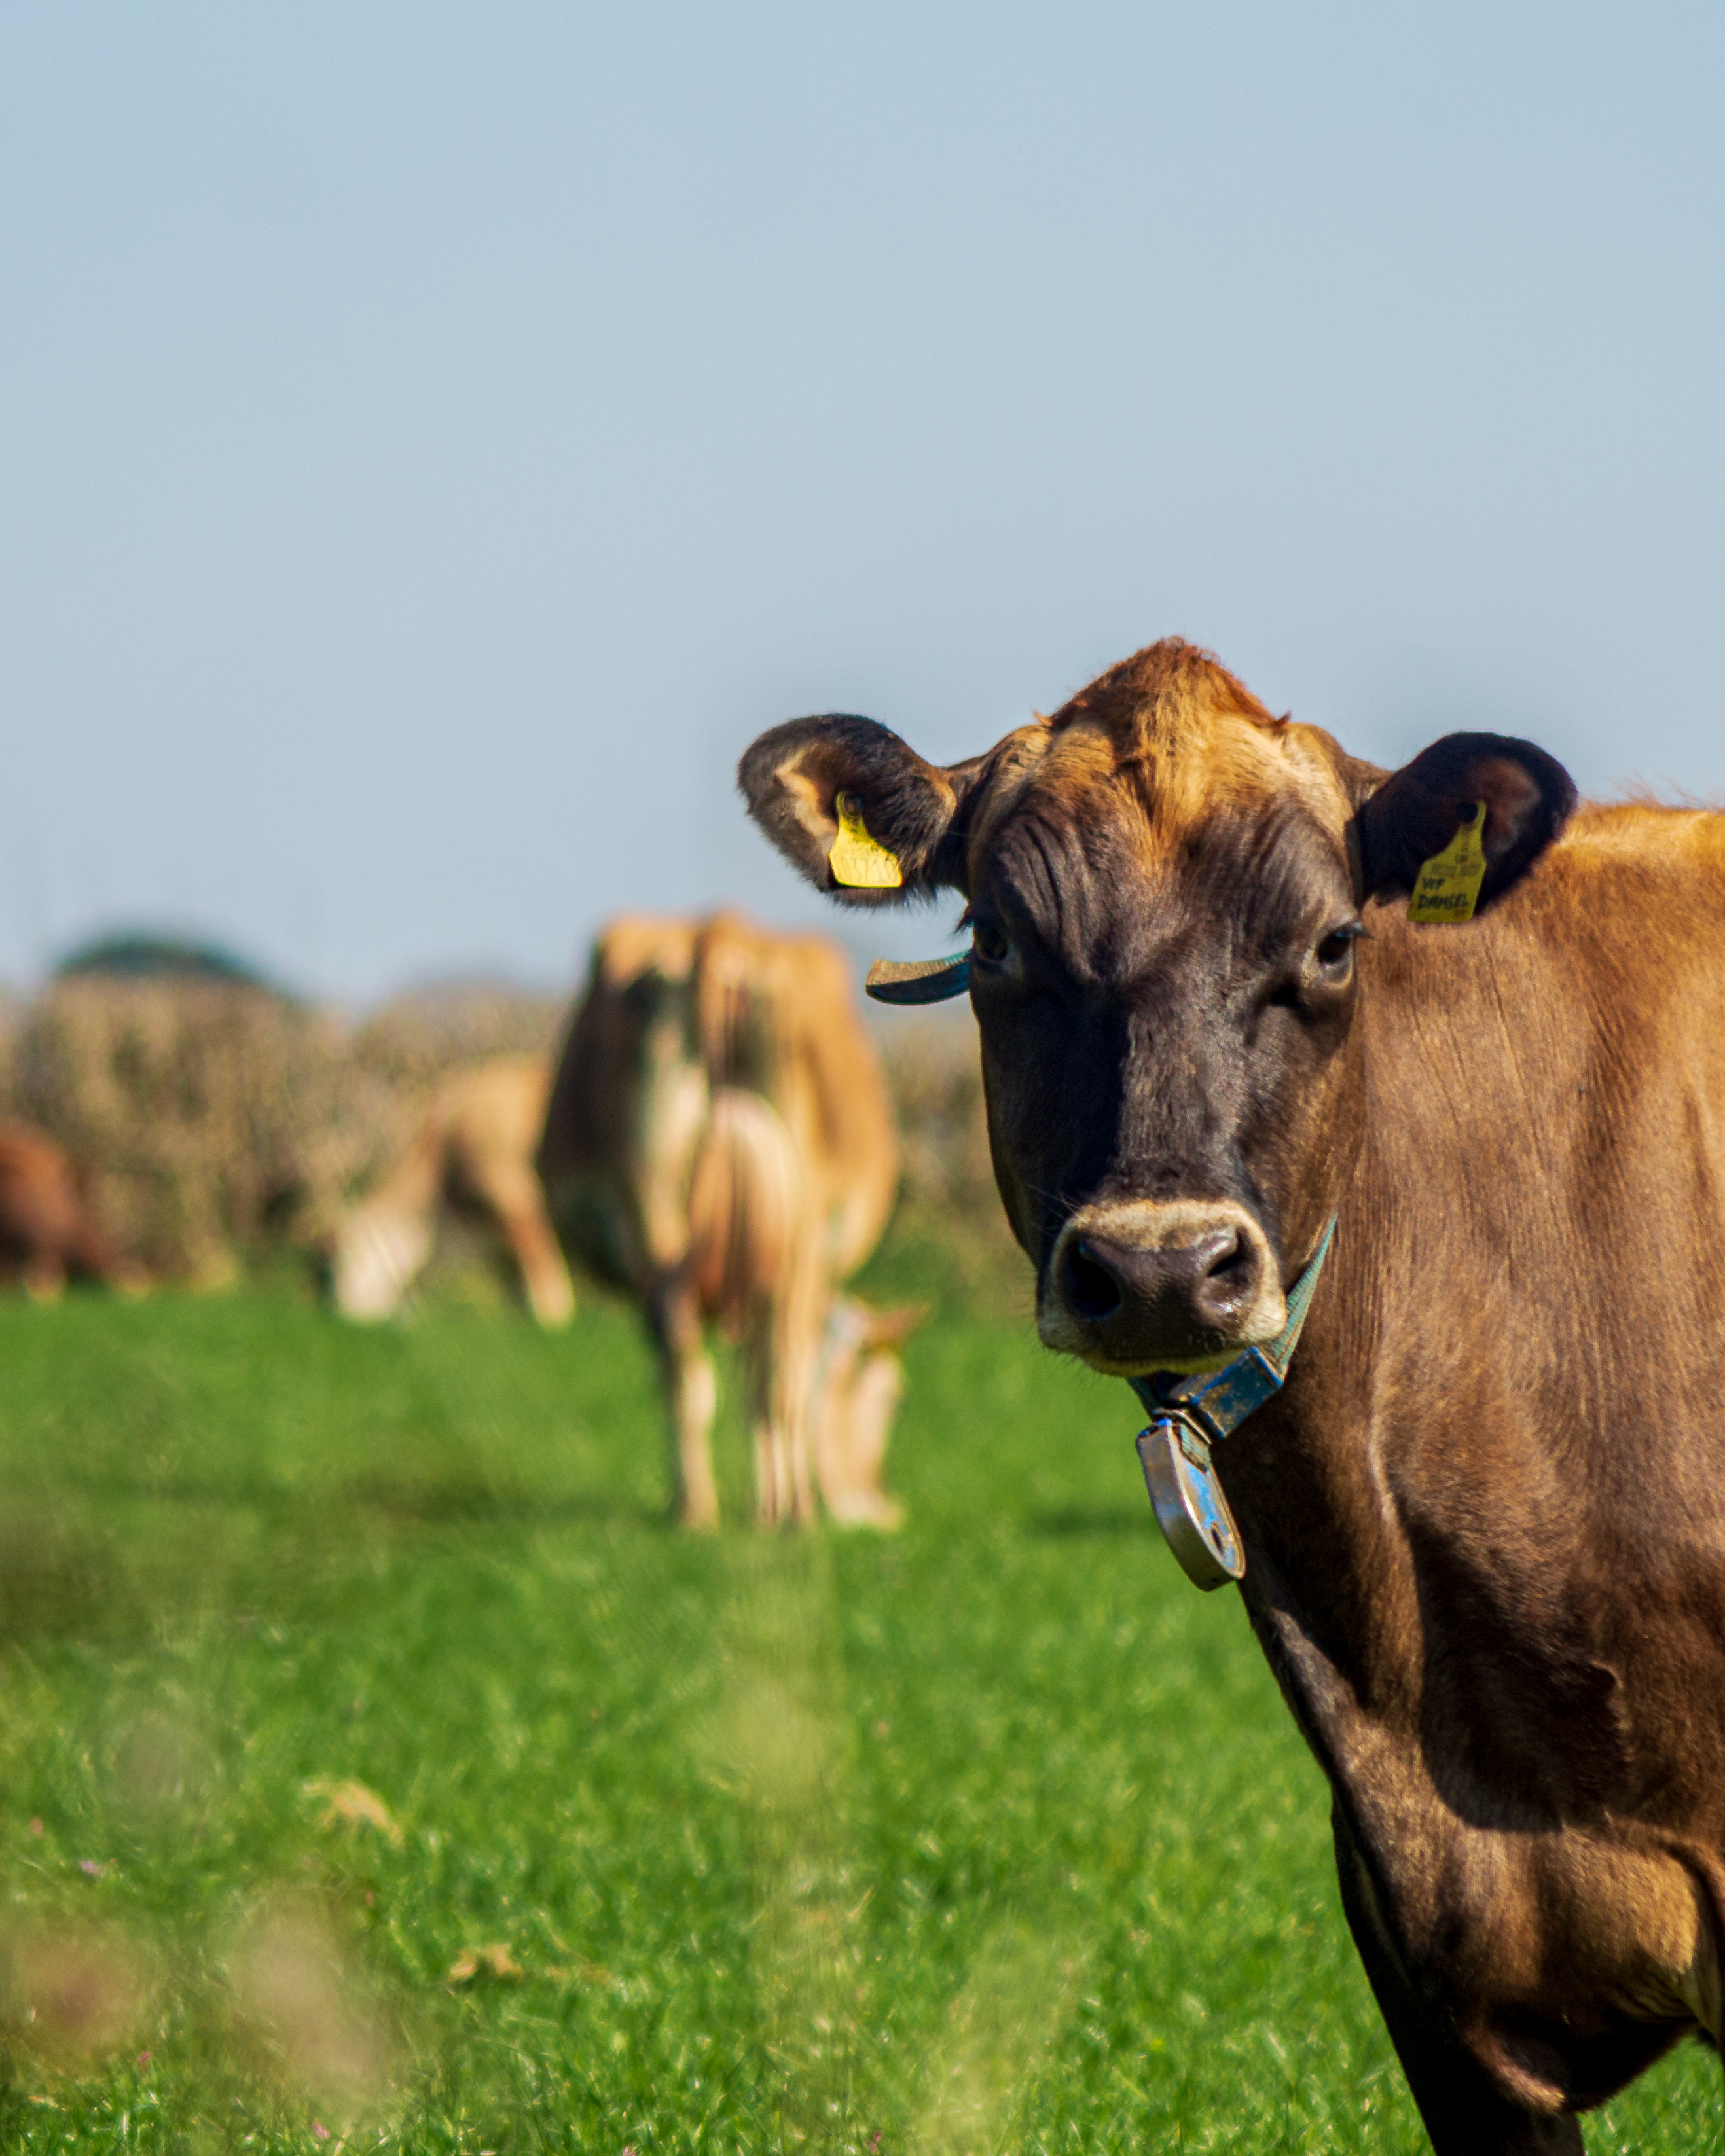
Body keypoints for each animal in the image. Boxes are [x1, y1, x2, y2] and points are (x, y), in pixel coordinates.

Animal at [537, 911, 912, 1529]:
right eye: (888, 1400)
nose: (884, 1508)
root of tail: (717, 929)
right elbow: (774, 1383)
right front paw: (771, 1502)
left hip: (656, 1211)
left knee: (683, 1363)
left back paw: (695, 1508)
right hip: (796, 1236)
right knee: (775, 1374)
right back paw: (791, 1513)